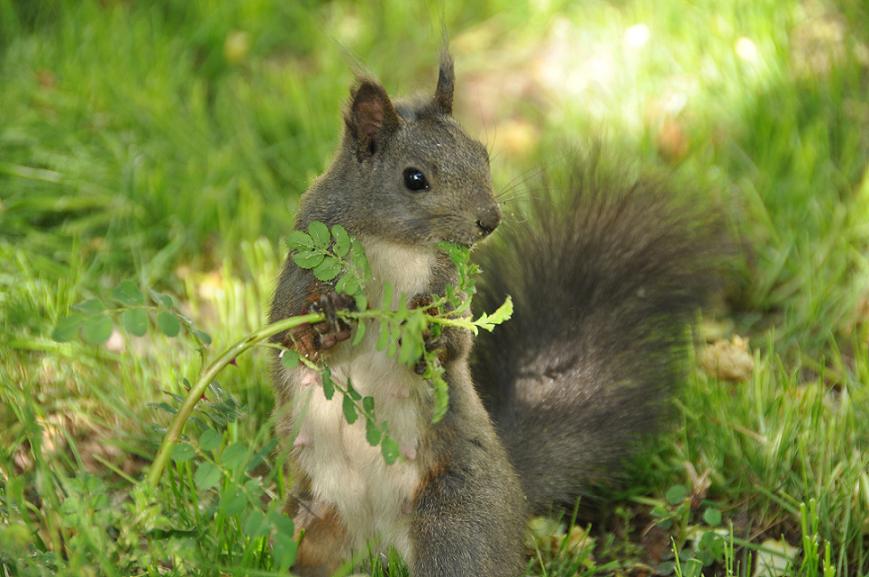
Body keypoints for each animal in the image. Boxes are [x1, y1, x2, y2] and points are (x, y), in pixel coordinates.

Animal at [268, 53, 716, 576]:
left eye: (482, 155)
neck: (394, 246)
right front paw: (323, 323)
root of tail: (378, 539)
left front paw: (431, 334)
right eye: (414, 178)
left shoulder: (448, 284)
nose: (490, 220)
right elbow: (284, 328)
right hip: (306, 527)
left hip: (456, 520)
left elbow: (458, 343)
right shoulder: (304, 258)